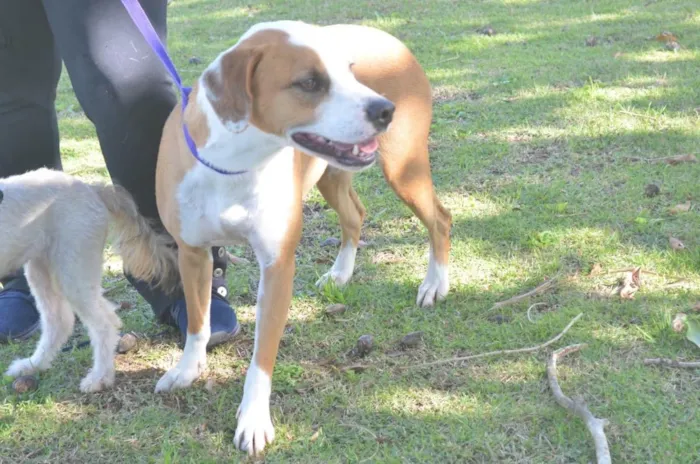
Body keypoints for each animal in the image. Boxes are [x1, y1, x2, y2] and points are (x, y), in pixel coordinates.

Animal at [152, 20, 452, 454]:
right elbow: (196, 322)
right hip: (333, 174)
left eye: (350, 70)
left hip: (403, 167)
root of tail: (388, 36)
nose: (384, 110)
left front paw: (254, 419)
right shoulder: (192, 253)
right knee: (355, 216)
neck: (235, 163)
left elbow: (262, 357)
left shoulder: (277, 267)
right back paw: (341, 273)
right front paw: (187, 370)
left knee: (440, 219)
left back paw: (435, 284)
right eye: (309, 82)